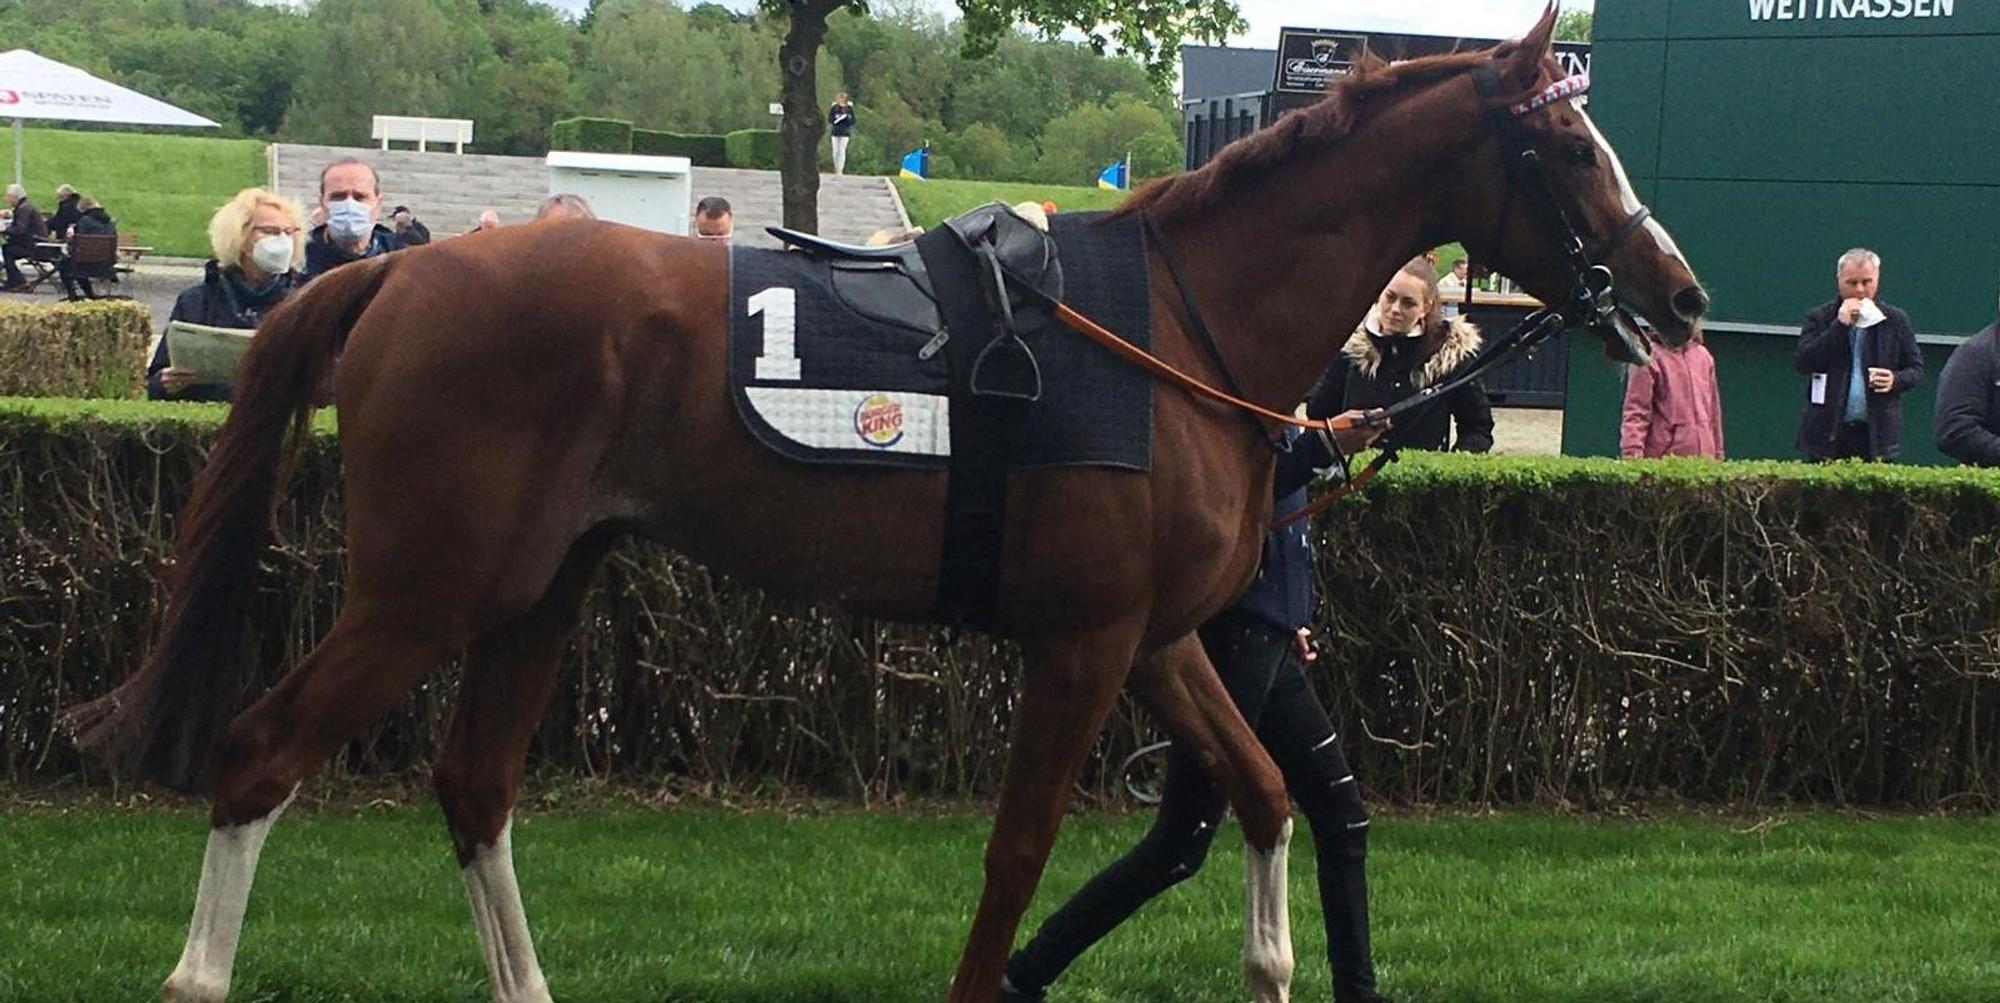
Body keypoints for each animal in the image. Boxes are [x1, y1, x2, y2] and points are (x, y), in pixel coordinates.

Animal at [71, 11, 1705, 1003]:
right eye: (1570, 145)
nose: (1681, 294)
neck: (1175, 326)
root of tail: (398, 273)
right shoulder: (1082, 644)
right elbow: (1018, 854)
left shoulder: (1159, 637)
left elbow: (1259, 794)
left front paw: (1273, 959)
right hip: (428, 586)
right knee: (261, 754)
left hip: (544, 582)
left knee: (475, 787)